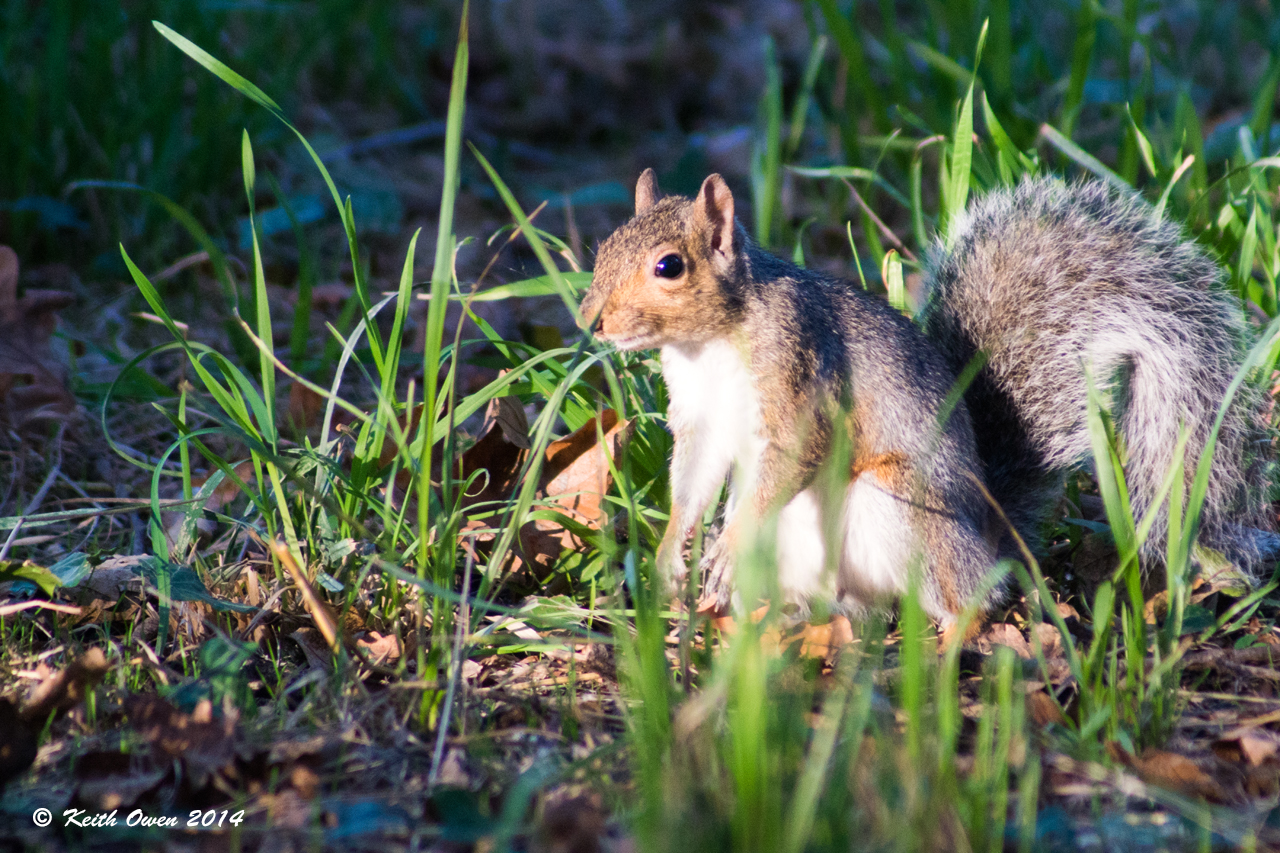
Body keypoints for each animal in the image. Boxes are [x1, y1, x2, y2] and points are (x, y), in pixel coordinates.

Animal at [579, 169, 1276, 631]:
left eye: (669, 266)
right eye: (604, 246)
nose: (591, 322)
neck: (711, 342)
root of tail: (991, 549)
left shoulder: (800, 373)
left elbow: (798, 452)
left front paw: (724, 548)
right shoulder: (701, 418)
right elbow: (694, 480)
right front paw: (670, 557)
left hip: (901, 505)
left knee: (959, 604)